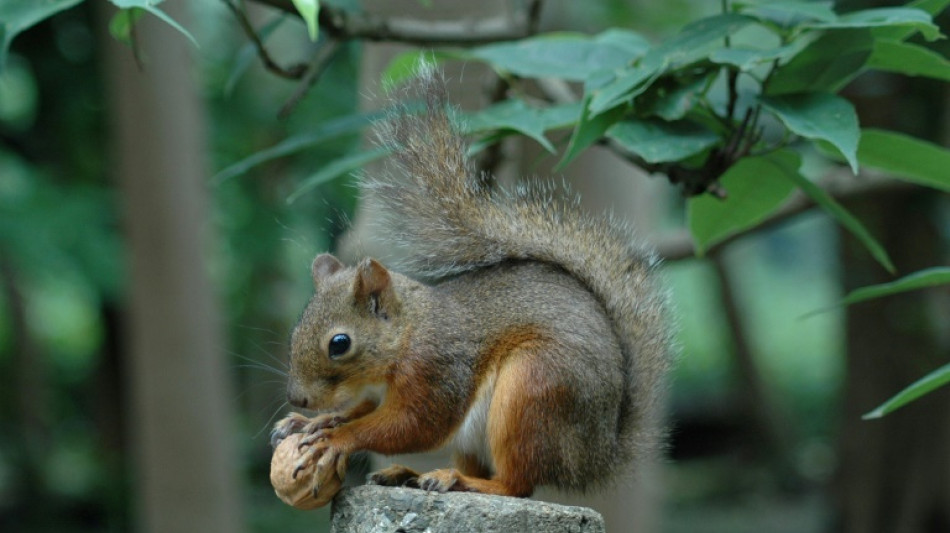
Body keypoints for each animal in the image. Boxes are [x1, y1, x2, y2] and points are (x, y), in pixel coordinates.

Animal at [270, 66, 673, 498]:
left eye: (340, 344)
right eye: (296, 330)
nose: (298, 398)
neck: (408, 334)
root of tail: (596, 456)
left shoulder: (435, 372)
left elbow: (411, 426)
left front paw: (335, 438)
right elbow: (360, 412)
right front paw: (312, 422)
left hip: (532, 390)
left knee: (517, 485)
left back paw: (461, 480)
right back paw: (410, 474)